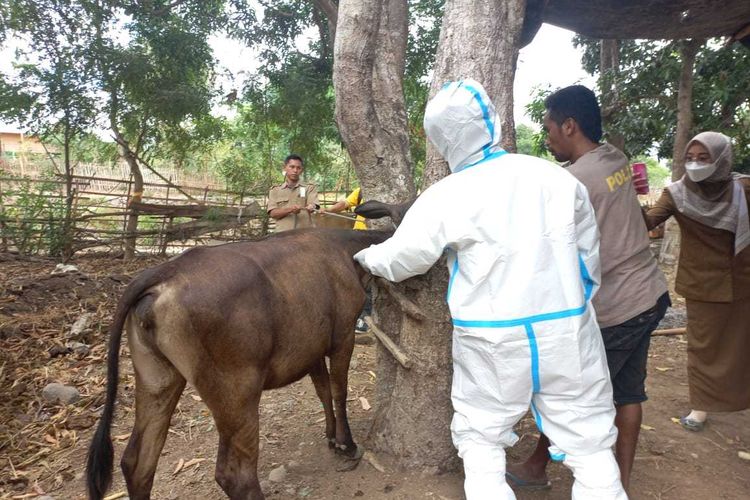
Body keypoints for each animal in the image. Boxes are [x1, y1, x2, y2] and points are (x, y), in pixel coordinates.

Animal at [86, 228, 394, 500]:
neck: (344, 248)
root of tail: (160, 274)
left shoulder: (312, 348)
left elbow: (324, 391)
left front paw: (331, 437)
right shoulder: (343, 336)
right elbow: (340, 390)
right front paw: (345, 443)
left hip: (157, 379)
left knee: (136, 463)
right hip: (237, 392)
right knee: (235, 476)